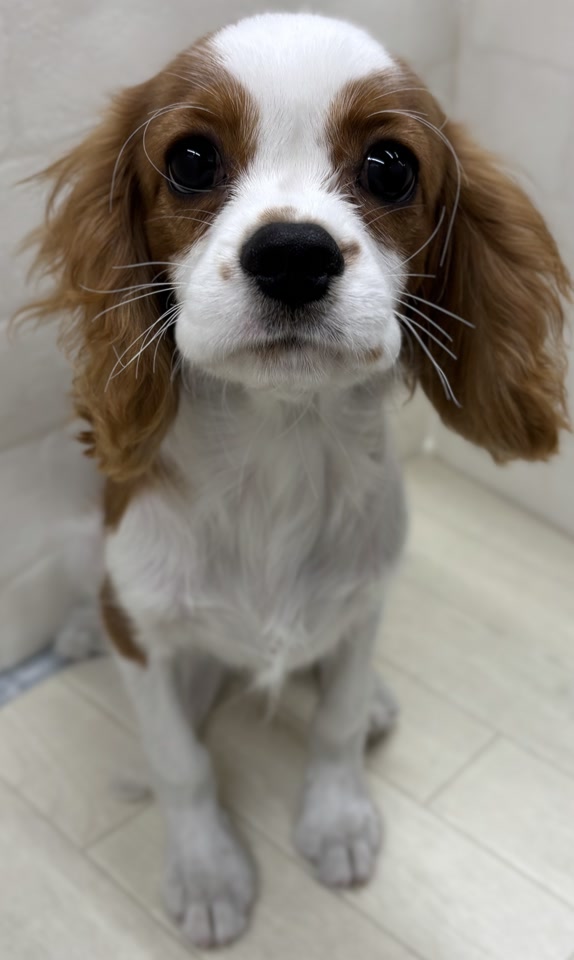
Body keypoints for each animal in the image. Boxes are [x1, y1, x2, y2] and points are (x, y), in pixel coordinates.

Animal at [23, 11, 570, 949]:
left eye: (390, 166)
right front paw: (207, 871)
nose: (291, 253)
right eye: (191, 159)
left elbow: (337, 721)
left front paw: (337, 818)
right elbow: (179, 761)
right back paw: (82, 628)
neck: (277, 449)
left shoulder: (365, 596)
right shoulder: (153, 638)